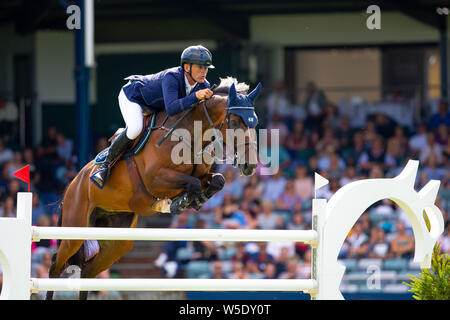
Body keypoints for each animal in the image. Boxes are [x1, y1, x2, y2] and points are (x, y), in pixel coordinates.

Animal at [45, 77, 260, 300]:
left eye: (255, 123)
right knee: (56, 264)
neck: (191, 136)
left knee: (87, 272)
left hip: (116, 241)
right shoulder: (154, 180)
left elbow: (217, 180)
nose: (250, 166)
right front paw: (178, 203)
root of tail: (73, 184)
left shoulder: (201, 176)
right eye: (234, 123)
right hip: (75, 228)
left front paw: (196, 199)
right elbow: (191, 183)